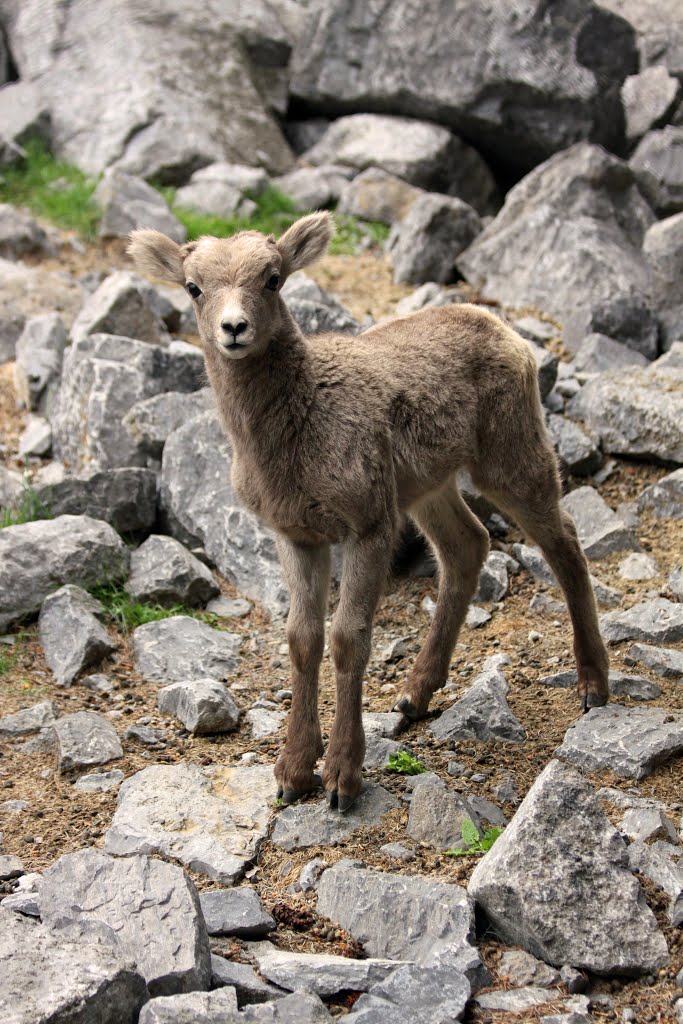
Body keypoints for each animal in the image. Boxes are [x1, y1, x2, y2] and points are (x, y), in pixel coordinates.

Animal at [131, 211, 610, 811]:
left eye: (273, 278)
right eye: (193, 287)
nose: (234, 328)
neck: (299, 429)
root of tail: (504, 329)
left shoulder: (369, 526)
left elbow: (348, 638)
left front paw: (341, 778)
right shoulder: (298, 534)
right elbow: (302, 639)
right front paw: (292, 773)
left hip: (510, 456)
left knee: (564, 541)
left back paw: (593, 686)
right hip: (427, 488)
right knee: (467, 546)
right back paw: (414, 695)